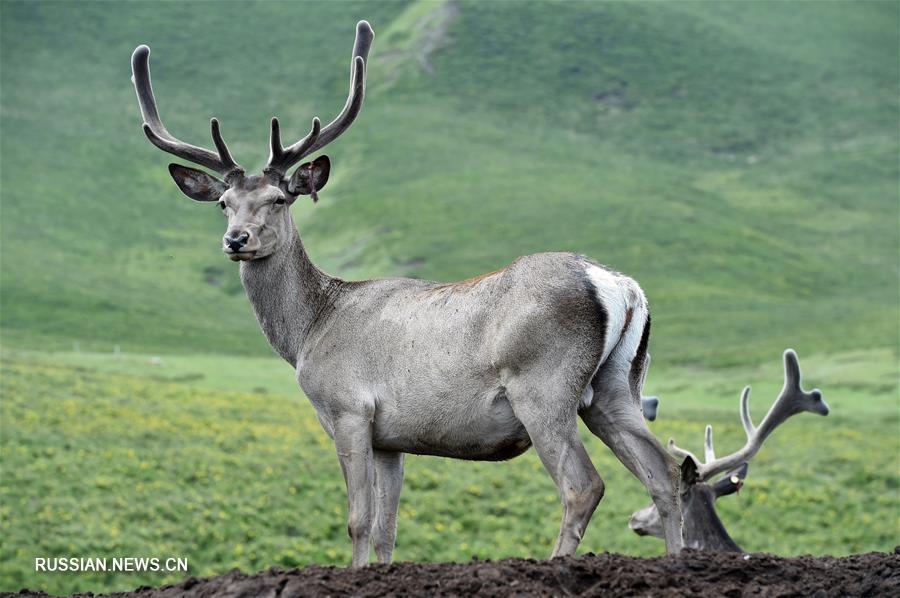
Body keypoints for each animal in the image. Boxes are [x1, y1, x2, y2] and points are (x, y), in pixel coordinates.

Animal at [130, 21, 684, 568]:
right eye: (224, 203)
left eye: (279, 199)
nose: (236, 240)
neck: (308, 331)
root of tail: (620, 287)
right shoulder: (390, 438)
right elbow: (386, 530)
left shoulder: (348, 409)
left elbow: (357, 521)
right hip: (616, 385)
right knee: (666, 471)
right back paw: (680, 559)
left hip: (543, 385)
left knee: (583, 485)